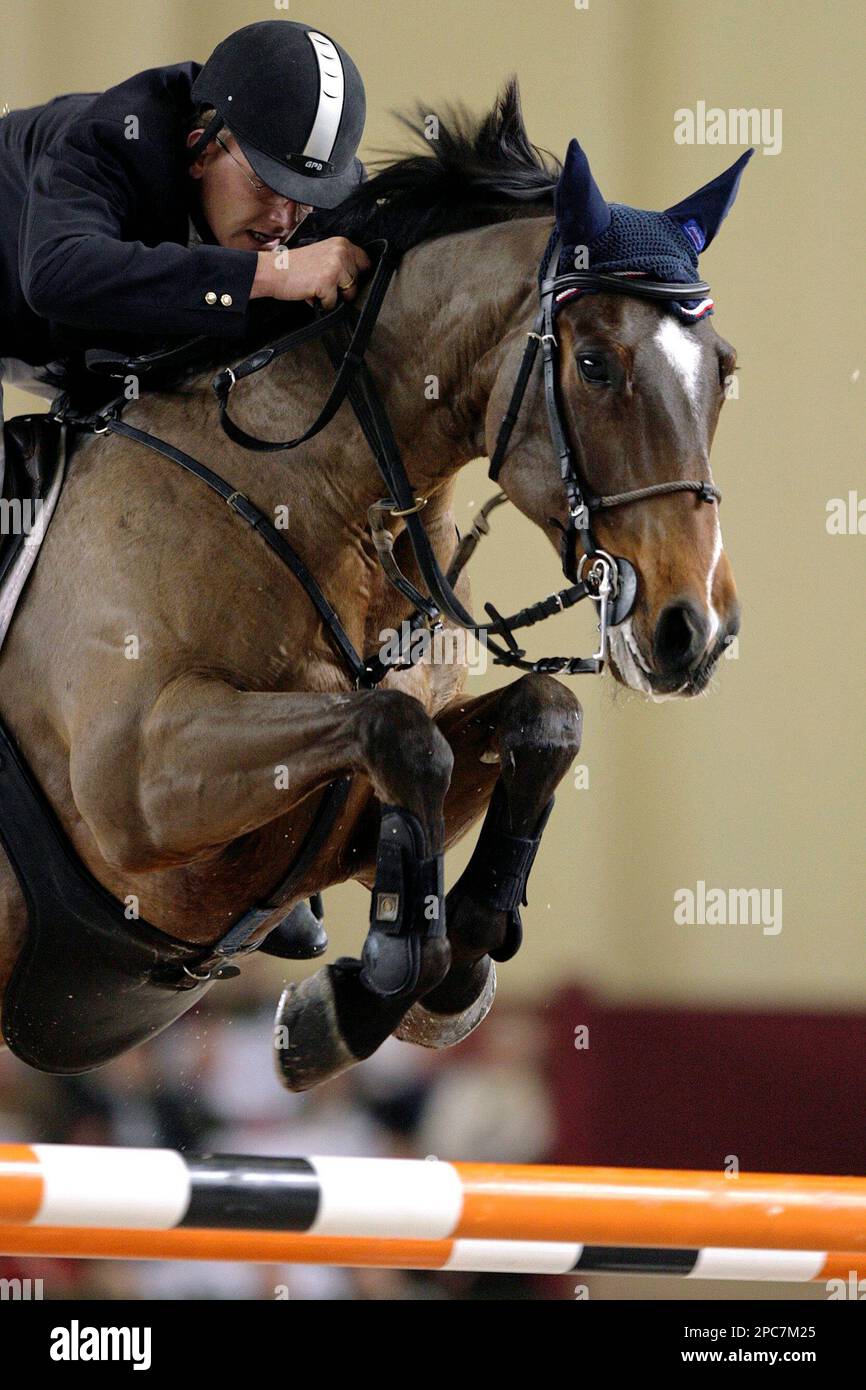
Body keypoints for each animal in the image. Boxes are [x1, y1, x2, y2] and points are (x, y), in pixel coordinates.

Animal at [0, 82, 747, 1090]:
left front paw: (448, 960)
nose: (693, 629)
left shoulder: (333, 822)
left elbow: (540, 715)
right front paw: (369, 987)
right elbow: (398, 733)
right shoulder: (135, 789)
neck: (325, 505)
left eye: (724, 373)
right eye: (594, 363)